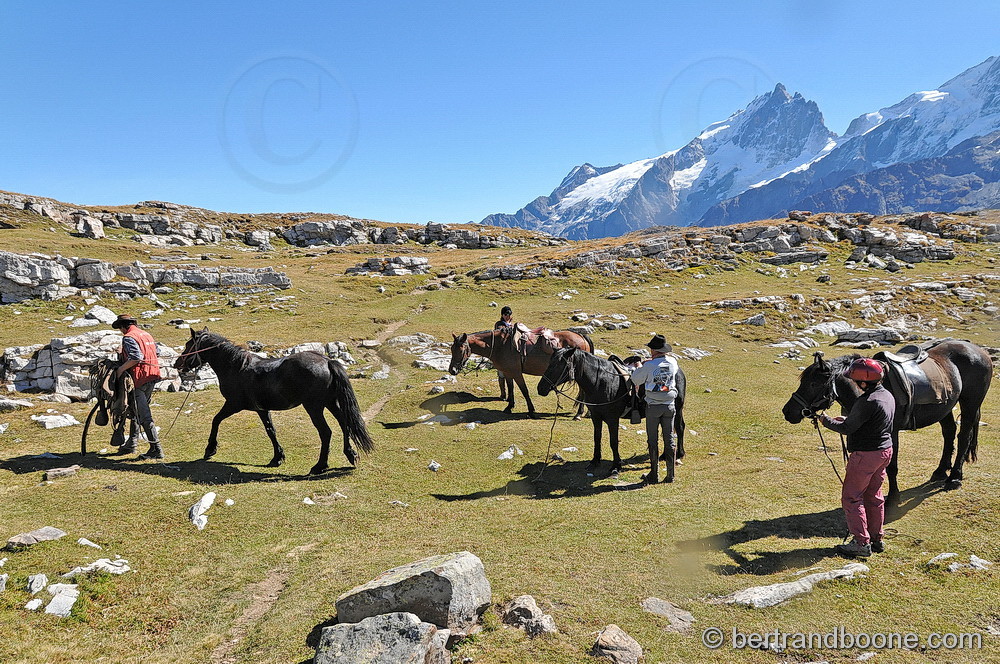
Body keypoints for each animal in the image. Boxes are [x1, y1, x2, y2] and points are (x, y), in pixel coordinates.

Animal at [174, 328, 374, 474]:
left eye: (188, 345)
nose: (177, 364)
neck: (236, 367)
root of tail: (326, 361)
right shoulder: (262, 409)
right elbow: (271, 431)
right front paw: (277, 457)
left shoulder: (233, 404)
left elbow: (216, 420)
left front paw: (210, 449)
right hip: (330, 403)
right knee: (344, 424)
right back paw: (350, 454)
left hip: (314, 407)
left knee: (326, 432)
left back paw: (320, 466)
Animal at [449, 328, 593, 418]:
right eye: (451, 349)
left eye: (460, 350)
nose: (452, 370)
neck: (501, 346)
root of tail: (581, 337)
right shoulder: (508, 373)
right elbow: (511, 388)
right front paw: (509, 407)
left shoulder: (516, 373)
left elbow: (524, 391)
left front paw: (531, 411)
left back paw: (579, 414)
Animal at [538, 347, 687, 479]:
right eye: (549, 363)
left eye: (558, 365)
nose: (540, 389)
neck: (600, 382)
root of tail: (678, 370)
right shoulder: (596, 417)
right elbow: (597, 438)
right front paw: (595, 461)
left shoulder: (612, 419)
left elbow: (613, 442)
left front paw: (616, 466)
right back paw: (665, 455)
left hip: (677, 409)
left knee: (679, 428)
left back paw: (679, 454)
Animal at [782, 339, 992, 504]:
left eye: (813, 384)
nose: (787, 411)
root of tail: (979, 350)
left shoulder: (891, 432)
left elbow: (891, 466)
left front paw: (893, 497)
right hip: (945, 407)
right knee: (949, 433)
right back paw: (941, 471)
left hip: (970, 404)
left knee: (964, 437)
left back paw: (955, 477)